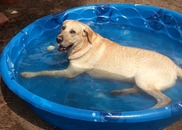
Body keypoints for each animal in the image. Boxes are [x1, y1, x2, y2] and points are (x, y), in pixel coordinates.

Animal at [20, 19, 182, 108]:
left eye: (73, 32)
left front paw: (28, 74)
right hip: (141, 80)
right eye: (63, 28)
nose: (58, 39)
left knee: (164, 100)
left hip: (144, 79)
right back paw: (118, 92)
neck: (85, 45)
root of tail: (174, 66)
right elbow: (52, 66)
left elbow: (46, 72)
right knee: (138, 89)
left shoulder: (70, 72)